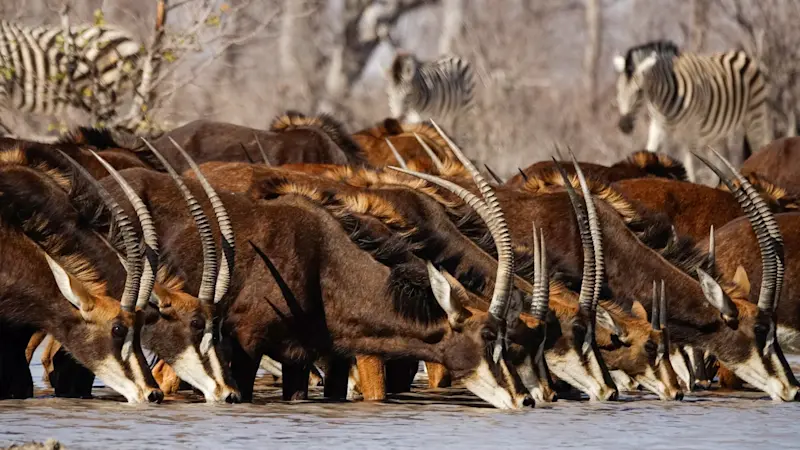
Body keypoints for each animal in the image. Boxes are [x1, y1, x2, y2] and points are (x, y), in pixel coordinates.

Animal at [613, 40, 772, 180]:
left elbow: (692, 170)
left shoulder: (692, 132)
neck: (662, 103)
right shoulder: (658, 126)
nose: (623, 126)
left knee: (758, 147)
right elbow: (650, 151)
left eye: (639, 91)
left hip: (755, 115)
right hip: (719, 134)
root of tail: (739, 53)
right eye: (618, 90)